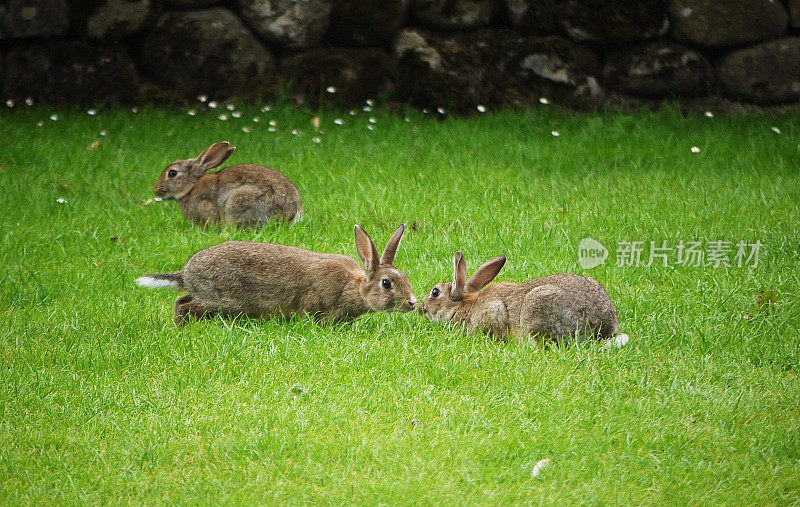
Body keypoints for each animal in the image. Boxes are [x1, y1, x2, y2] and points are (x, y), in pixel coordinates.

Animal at [136, 224, 418, 328]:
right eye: (386, 283)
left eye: (405, 277)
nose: (413, 303)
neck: (355, 287)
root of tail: (187, 273)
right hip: (220, 298)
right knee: (184, 303)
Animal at [151, 143, 304, 230]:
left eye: (172, 173)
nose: (156, 190)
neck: (191, 188)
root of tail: (292, 213)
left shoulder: (206, 206)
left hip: (240, 201)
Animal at [422, 251, 620, 346]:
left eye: (435, 292)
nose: (421, 308)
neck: (462, 306)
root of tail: (603, 327)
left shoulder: (493, 311)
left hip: (538, 307)